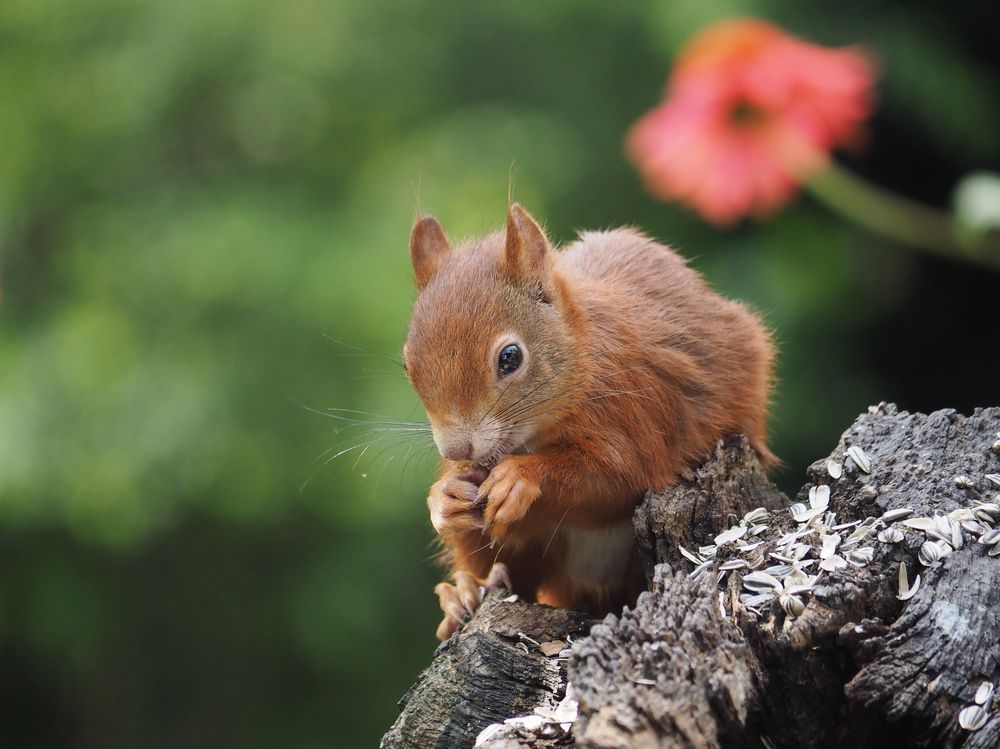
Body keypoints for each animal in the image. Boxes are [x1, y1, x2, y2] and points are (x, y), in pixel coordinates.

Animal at [402, 203, 776, 636]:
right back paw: (463, 595)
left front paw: (521, 478)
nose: (457, 449)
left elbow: (615, 477)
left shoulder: (638, 409)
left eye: (510, 357)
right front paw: (444, 498)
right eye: (408, 365)